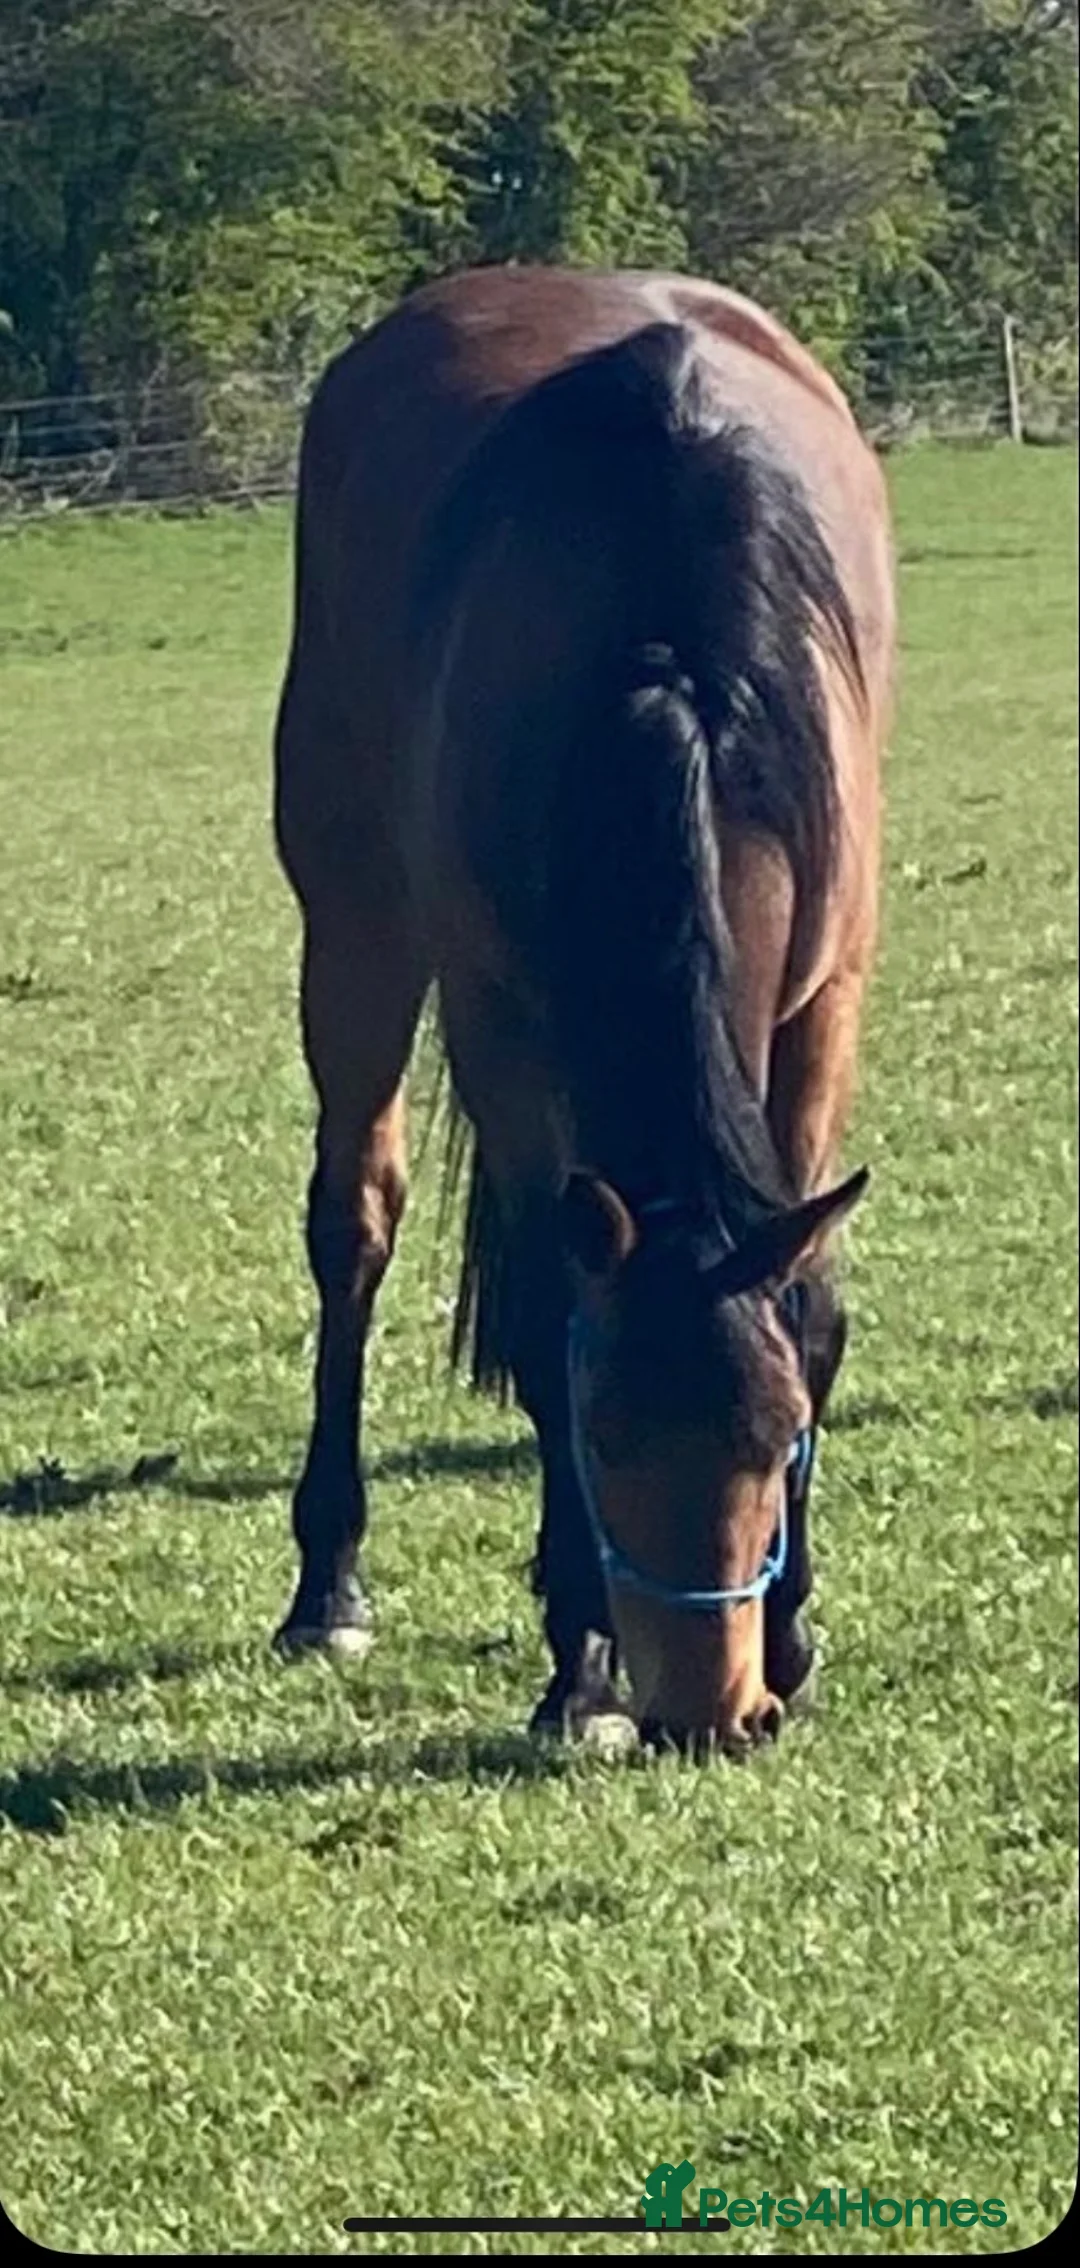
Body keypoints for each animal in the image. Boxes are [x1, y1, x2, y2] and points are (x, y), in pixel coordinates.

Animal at [272, 265, 894, 1755]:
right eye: (608, 1438)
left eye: (779, 1430)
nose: (711, 1712)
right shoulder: (503, 1018)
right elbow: (555, 1301)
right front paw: (580, 1666)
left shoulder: (824, 1006)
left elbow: (813, 1288)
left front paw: (798, 1634)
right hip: (358, 928)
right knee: (354, 1224)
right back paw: (328, 1587)